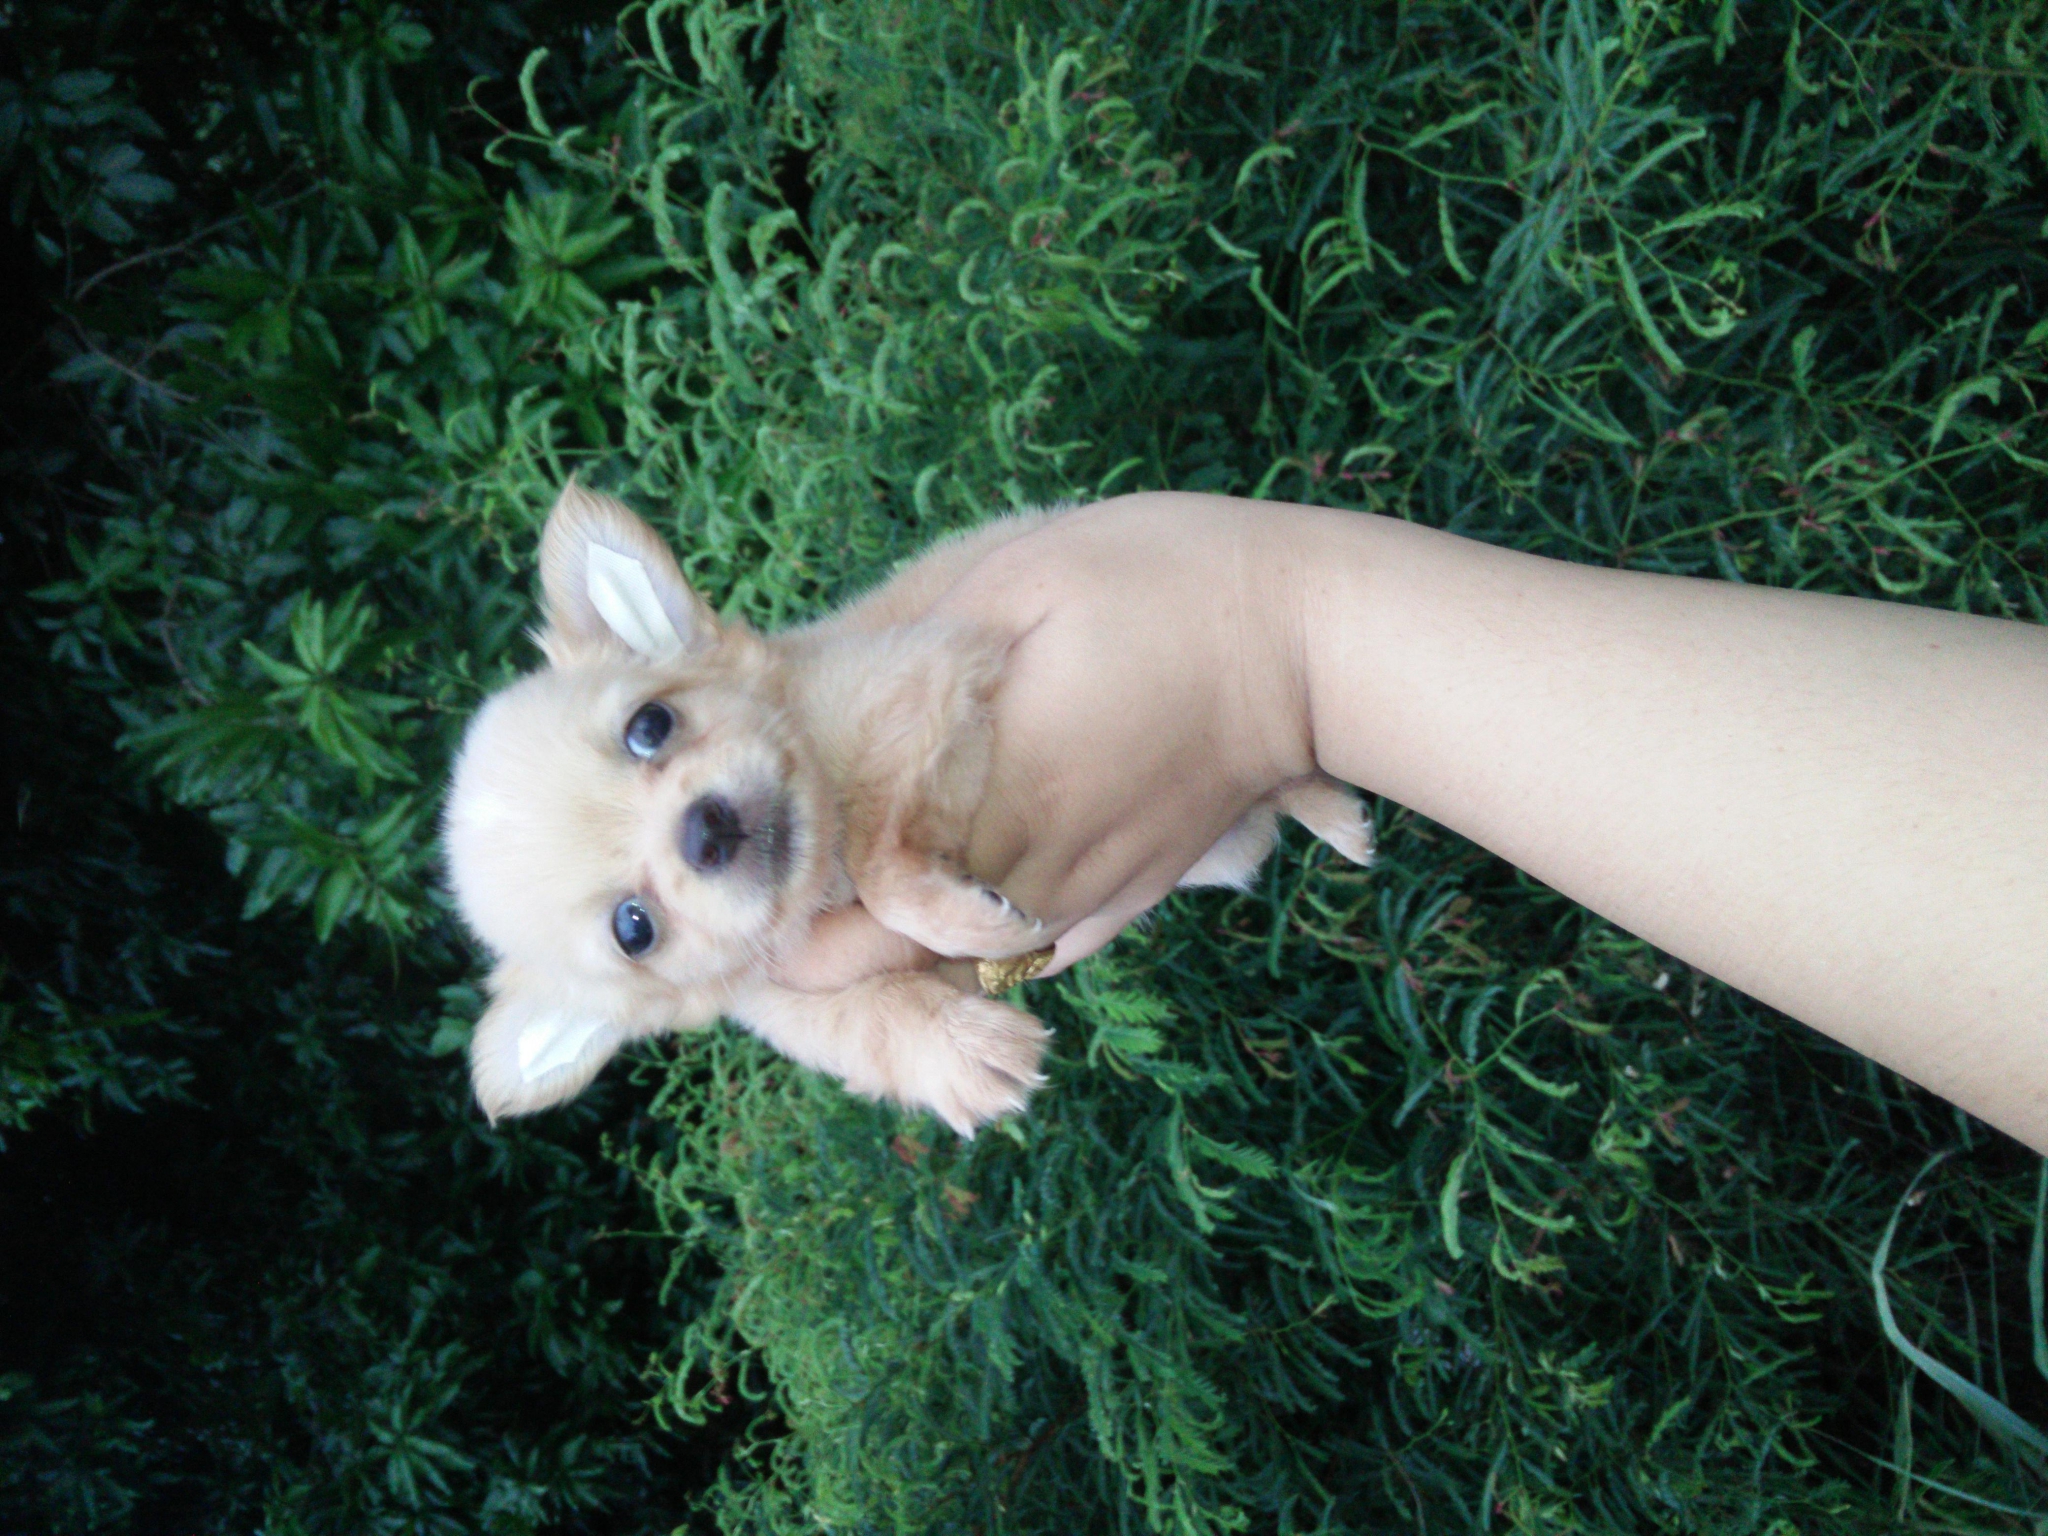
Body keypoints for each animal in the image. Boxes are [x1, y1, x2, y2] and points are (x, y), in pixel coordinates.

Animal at [443, 484, 1374, 1135]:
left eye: (650, 726)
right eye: (632, 929)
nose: (704, 828)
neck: (824, 867)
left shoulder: (922, 679)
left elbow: (887, 862)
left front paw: (969, 922)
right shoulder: (795, 1002)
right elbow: (871, 1023)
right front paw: (964, 1057)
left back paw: (1333, 812)